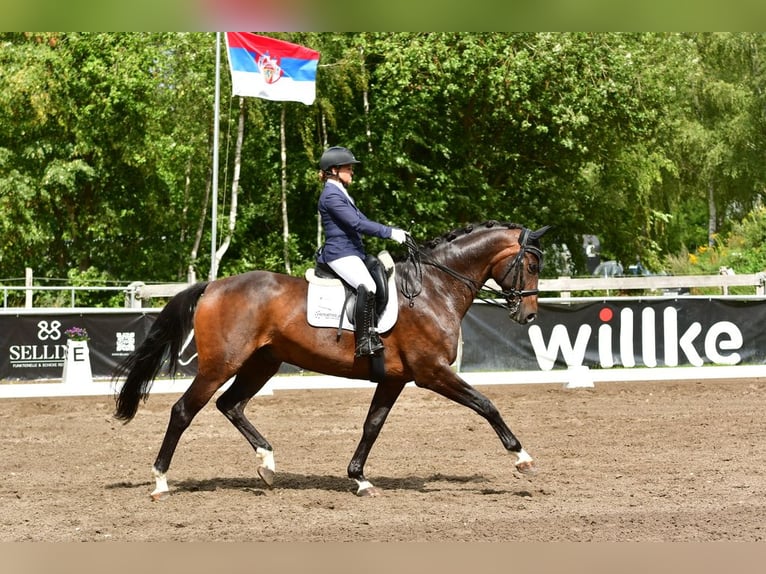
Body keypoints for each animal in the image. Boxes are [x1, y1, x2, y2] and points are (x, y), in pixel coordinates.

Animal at [113, 220, 551, 499]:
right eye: (531, 264)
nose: (528, 315)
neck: (433, 289)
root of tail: (213, 287)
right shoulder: (432, 372)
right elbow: (486, 405)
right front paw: (523, 458)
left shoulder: (394, 378)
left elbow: (372, 426)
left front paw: (359, 479)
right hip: (221, 364)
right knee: (184, 411)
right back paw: (161, 482)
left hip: (261, 363)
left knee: (230, 404)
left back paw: (267, 464)